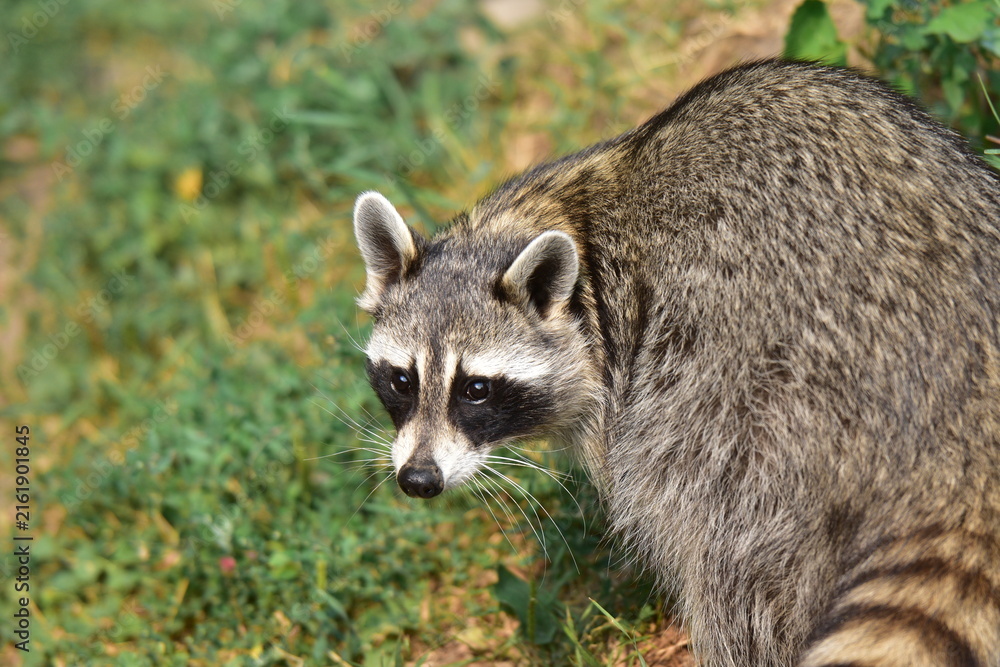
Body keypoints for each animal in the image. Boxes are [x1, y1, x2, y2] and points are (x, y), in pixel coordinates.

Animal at [351, 60, 1000, 666]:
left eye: (477, 389)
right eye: (402, 380)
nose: (418, 480)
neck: (563, 219)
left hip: (760, 401)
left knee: (723, 547)